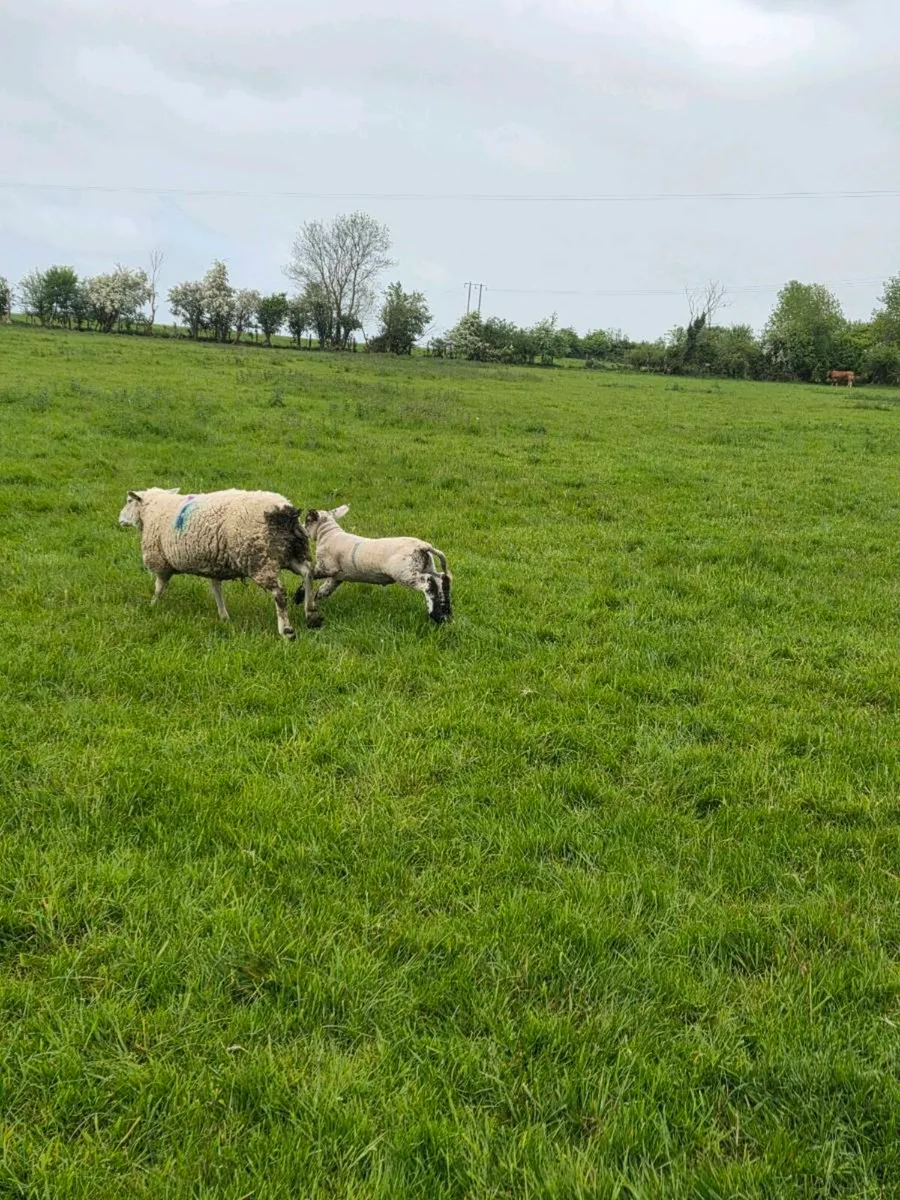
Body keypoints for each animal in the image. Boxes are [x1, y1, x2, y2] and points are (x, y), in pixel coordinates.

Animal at [118, 487, 321, 637]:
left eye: (129, 501)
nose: (119, 519)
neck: (153, 509)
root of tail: (285, 511)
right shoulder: (213, 564)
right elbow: (216, 590)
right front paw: (224, 617)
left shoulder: (162, 562)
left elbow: (159, 587)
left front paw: (152, 605)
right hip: (292, 552)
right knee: (308, 572)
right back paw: (310, 613)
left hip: (260, 559)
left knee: (279, 593)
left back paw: (287, 631)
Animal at [295, 504, 452, 624]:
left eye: (307, 521)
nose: (301, 529)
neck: (329, 534)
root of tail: (423, 546)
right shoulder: (338, 575)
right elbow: (326, 588)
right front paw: (315, 597)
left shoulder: (326, 567)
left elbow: (310, 574)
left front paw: (298, 596)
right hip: (427, 566)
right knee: (441, 580)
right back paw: (445, 614)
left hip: (406, 573)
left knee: (429, 583)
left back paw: (435, 615)